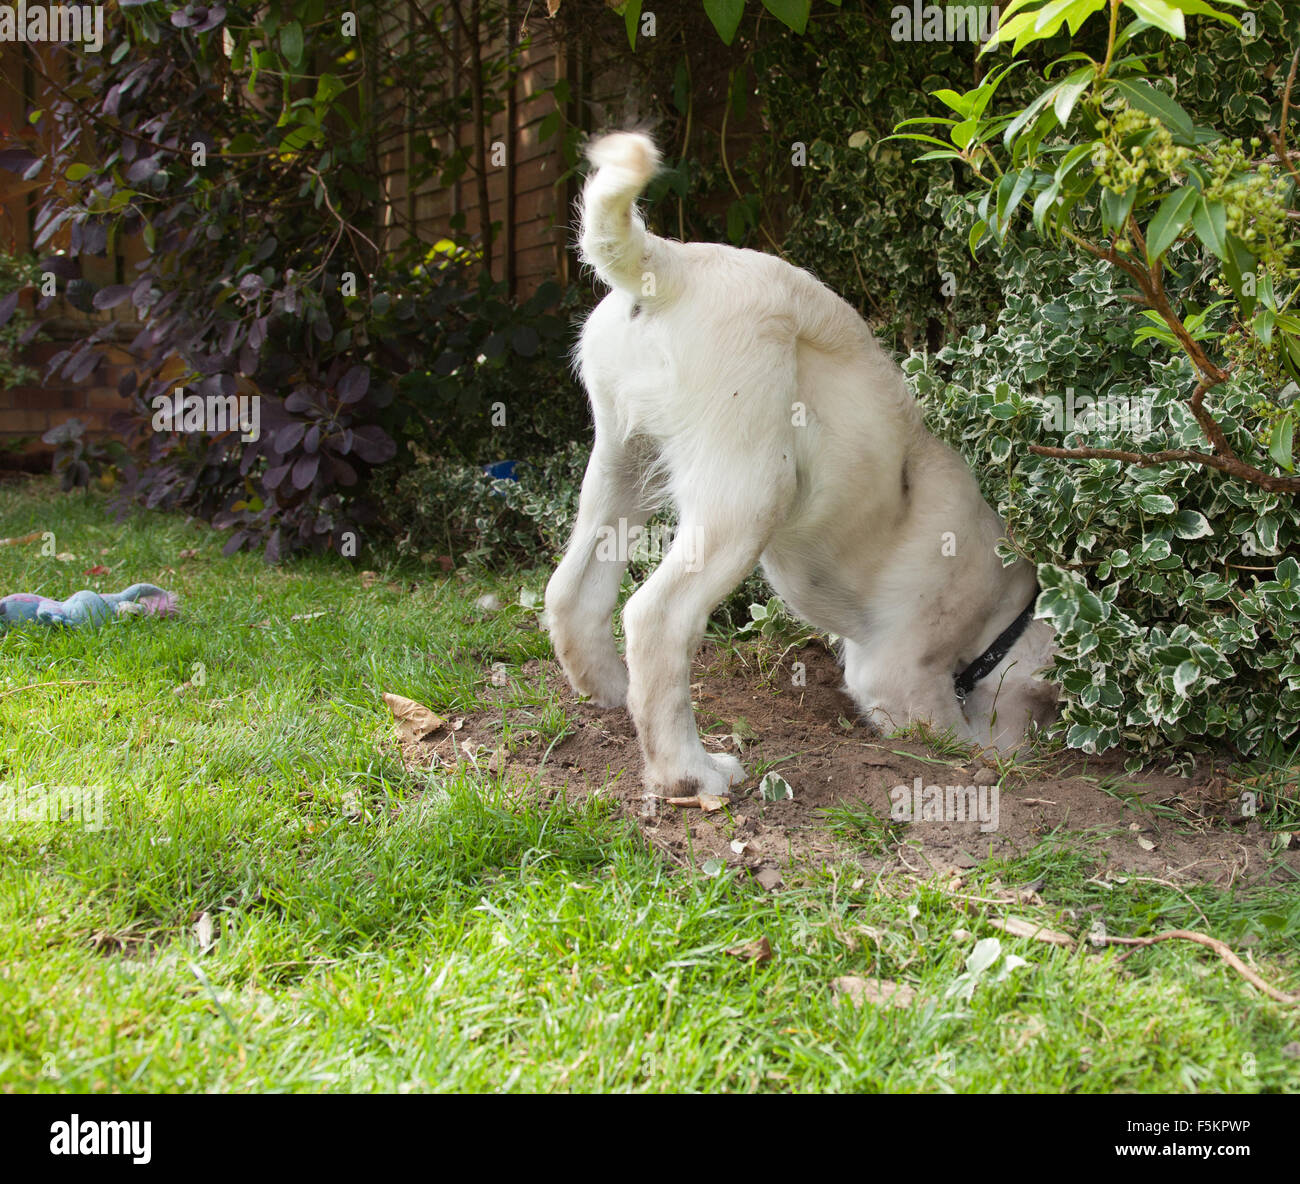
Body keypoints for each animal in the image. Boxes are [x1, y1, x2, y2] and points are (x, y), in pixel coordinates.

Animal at [540, 134, 1055, 800]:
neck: (1000, 611)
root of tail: (674, 262)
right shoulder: (897, 675)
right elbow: (948, 732)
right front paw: (980, 758)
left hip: (621, 464)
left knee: (571, 591)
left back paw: (610, 694)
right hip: (748, 493)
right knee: (656, 620)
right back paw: (690, 771)